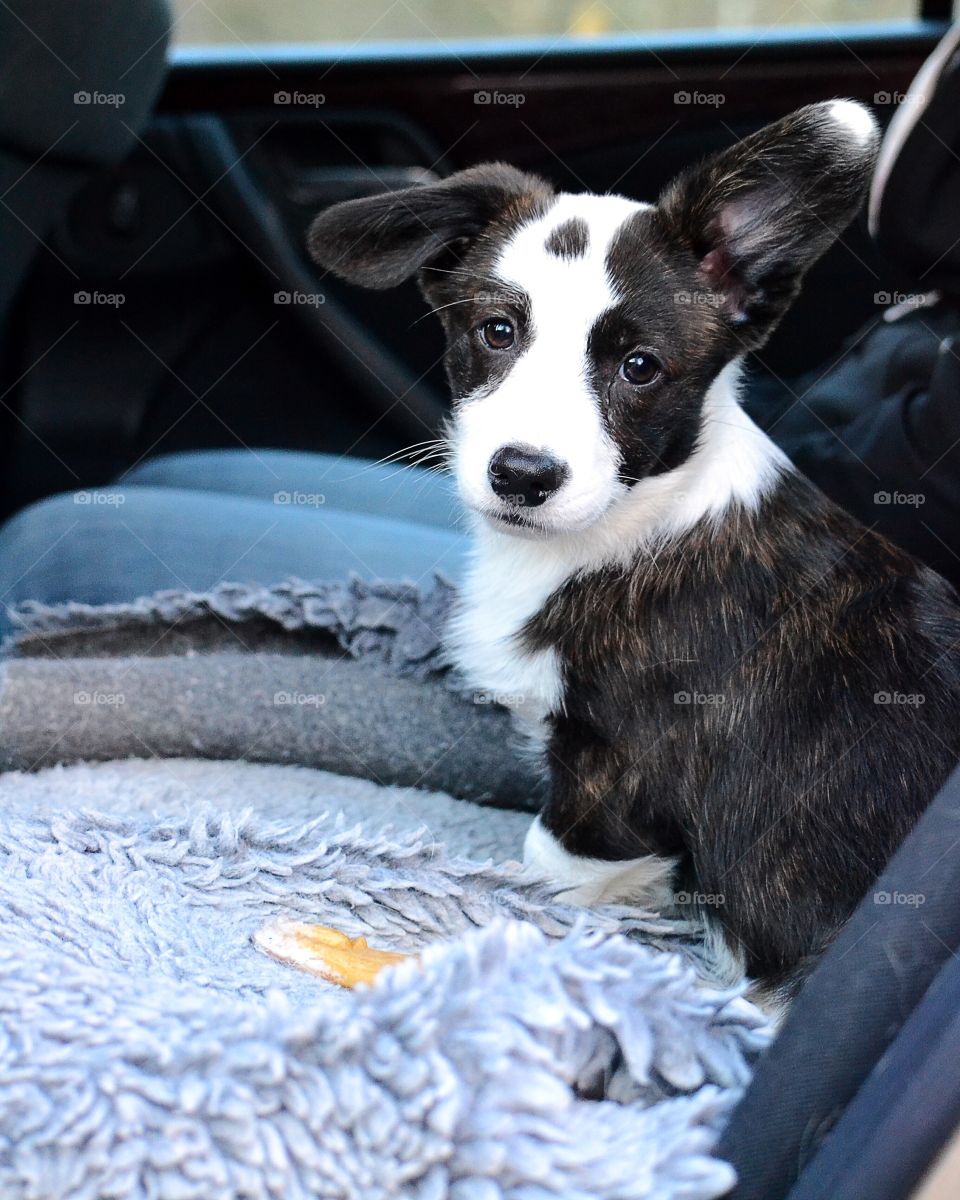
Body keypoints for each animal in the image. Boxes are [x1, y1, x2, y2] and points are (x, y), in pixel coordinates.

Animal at [312, 103, 960, 1003]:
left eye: (640, 367)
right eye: (497, 331)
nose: (523, 475)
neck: (637, 520)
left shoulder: (613, 786)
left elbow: (545, 869)